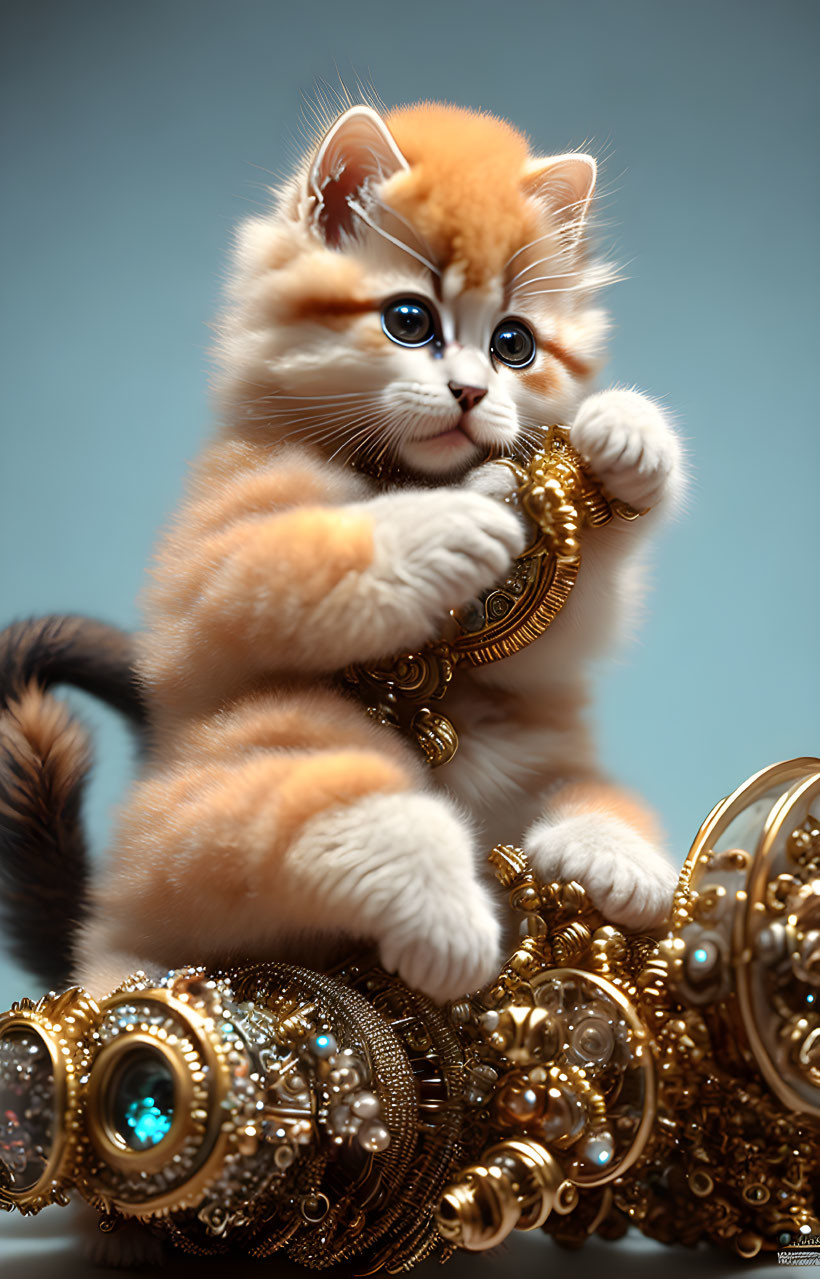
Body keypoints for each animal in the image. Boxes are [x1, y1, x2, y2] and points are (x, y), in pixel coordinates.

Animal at [68, 104, 685, 1002]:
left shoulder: (547, 652)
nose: (471, 393)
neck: (398, 468)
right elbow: (292, 555)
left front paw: (631, 436)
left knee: (584, 792)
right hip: (235, 769)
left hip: (547, 756)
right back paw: (450, 924)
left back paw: (611, 859)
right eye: (409, 321)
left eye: (514, 344)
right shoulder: (207, 564)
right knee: (324, 807)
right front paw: (453, 522)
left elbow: (575, 612)